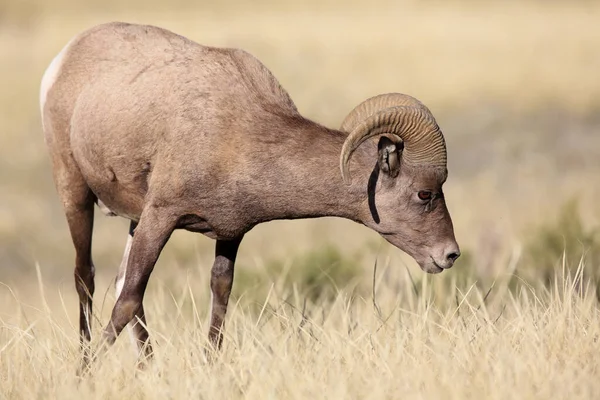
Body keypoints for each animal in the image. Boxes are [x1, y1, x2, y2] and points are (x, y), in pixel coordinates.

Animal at [39, 21, 460, 366]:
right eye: (424, 194)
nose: (450, 255)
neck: (239, 133)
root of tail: (61, 61)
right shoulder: (161, 216)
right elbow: (126, 301)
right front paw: (85, 377)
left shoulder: (229, 235)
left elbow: (217, 297)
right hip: (75, 192)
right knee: (87, 277)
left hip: (132, 220)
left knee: (120, 282)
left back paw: (149, 368)